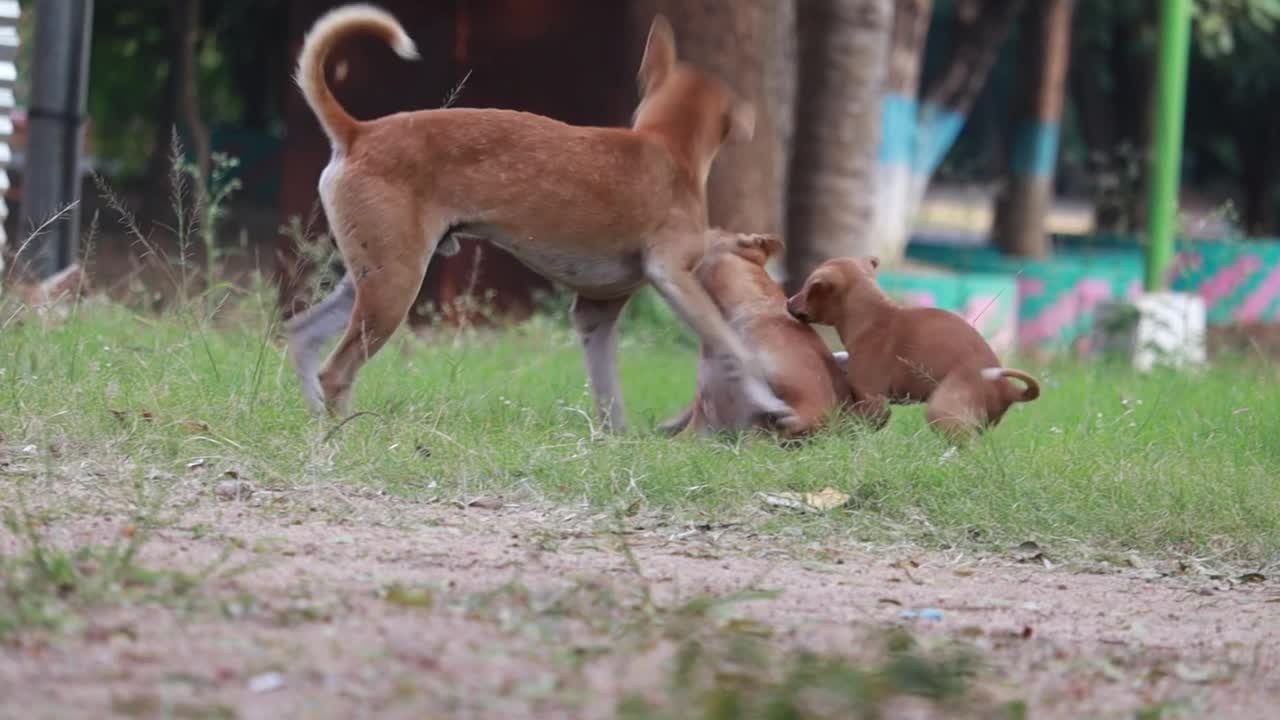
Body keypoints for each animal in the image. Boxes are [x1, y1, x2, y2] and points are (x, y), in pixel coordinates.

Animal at [286, 4, 793, 430]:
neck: (667, 147)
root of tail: (358, 133)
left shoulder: (594, 314)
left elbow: (608, 391)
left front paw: (617, 440)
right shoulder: (673, 276)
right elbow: (733, 347)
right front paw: (768, 401)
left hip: (374, 276)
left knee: (303, 335)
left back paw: (313, 420)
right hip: (394, 287)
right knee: (336, 370)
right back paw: (343, 432)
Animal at [788, 254, 1039, 440]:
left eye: (808, 288)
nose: (788, 301)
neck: (873, 315)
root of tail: (1005, 387)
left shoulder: (874, 401)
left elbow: (861, 424)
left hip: (943, 408)